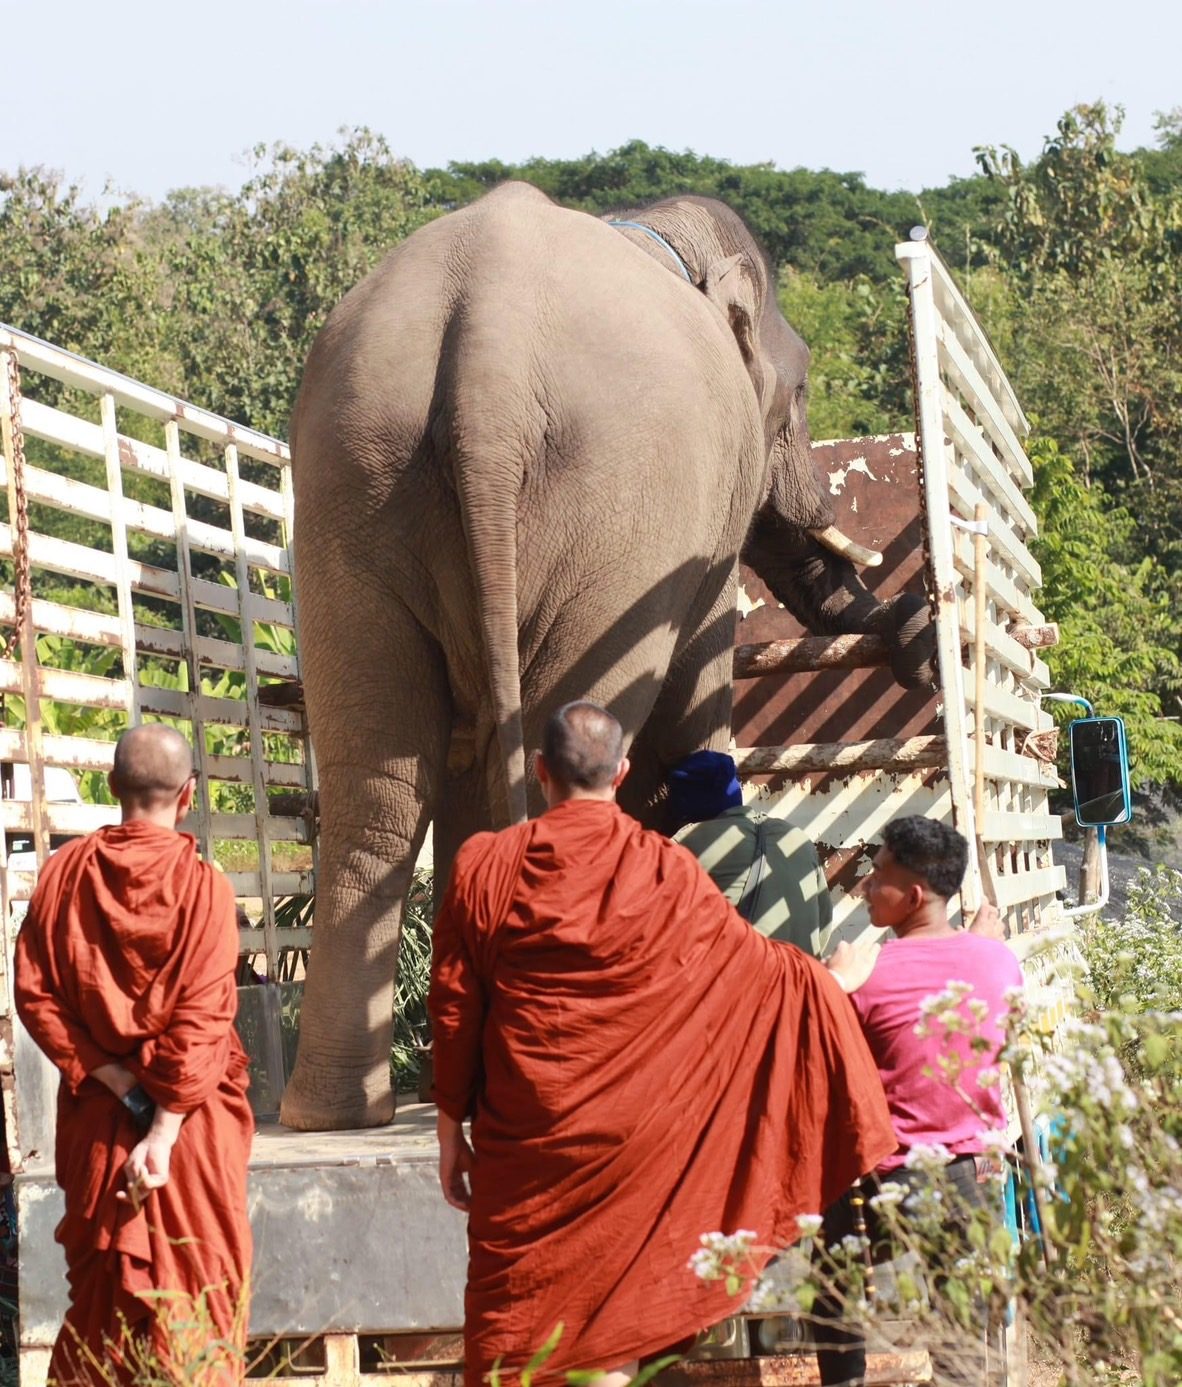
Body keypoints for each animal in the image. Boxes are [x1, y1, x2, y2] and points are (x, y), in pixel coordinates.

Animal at [279, 182, 934, 1131]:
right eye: (802, 389)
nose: (917, 638)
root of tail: (488, 351)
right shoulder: (692, 532)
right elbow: (693, 695)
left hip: (352, 487)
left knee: (380, 788)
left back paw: (344, 1112)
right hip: (612, 508)